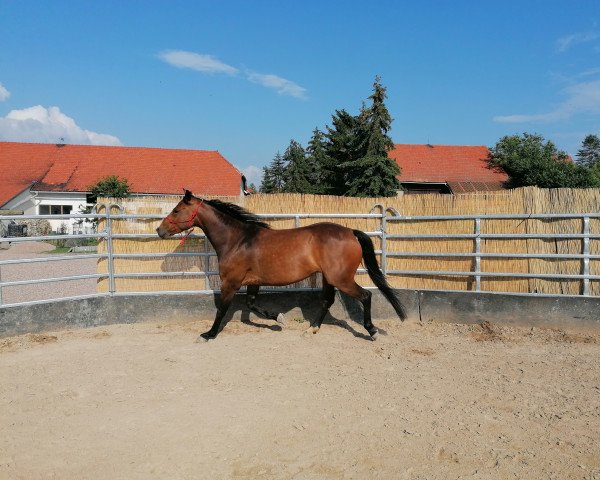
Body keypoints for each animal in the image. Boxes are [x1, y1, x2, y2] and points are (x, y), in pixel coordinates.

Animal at [157, 188, 406, 342]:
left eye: (176, 210)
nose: (159, 230)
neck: (237, 240)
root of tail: (350, 232)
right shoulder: (252, 282)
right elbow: (251, 304)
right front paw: (279, 320)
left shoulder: (231, 282)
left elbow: (222, 310)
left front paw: (208, 334)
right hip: (329, 278)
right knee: (327, 301)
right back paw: (311, 329)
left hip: (341, 279)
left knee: (366, 296)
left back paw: (372, 331)